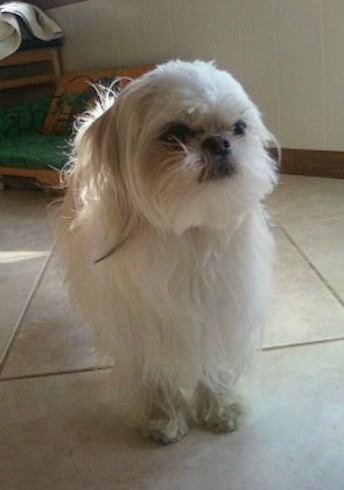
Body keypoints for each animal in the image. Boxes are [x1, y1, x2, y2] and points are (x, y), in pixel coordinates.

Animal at [57, 60, 276, 444]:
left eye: (238, 128)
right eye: (174, 134)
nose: (219, 142)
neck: (191, 234)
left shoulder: (220, 309)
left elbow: (215, 361)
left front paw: (222, 407)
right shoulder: (143, 326)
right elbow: (154, 374)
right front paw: (162, 418)